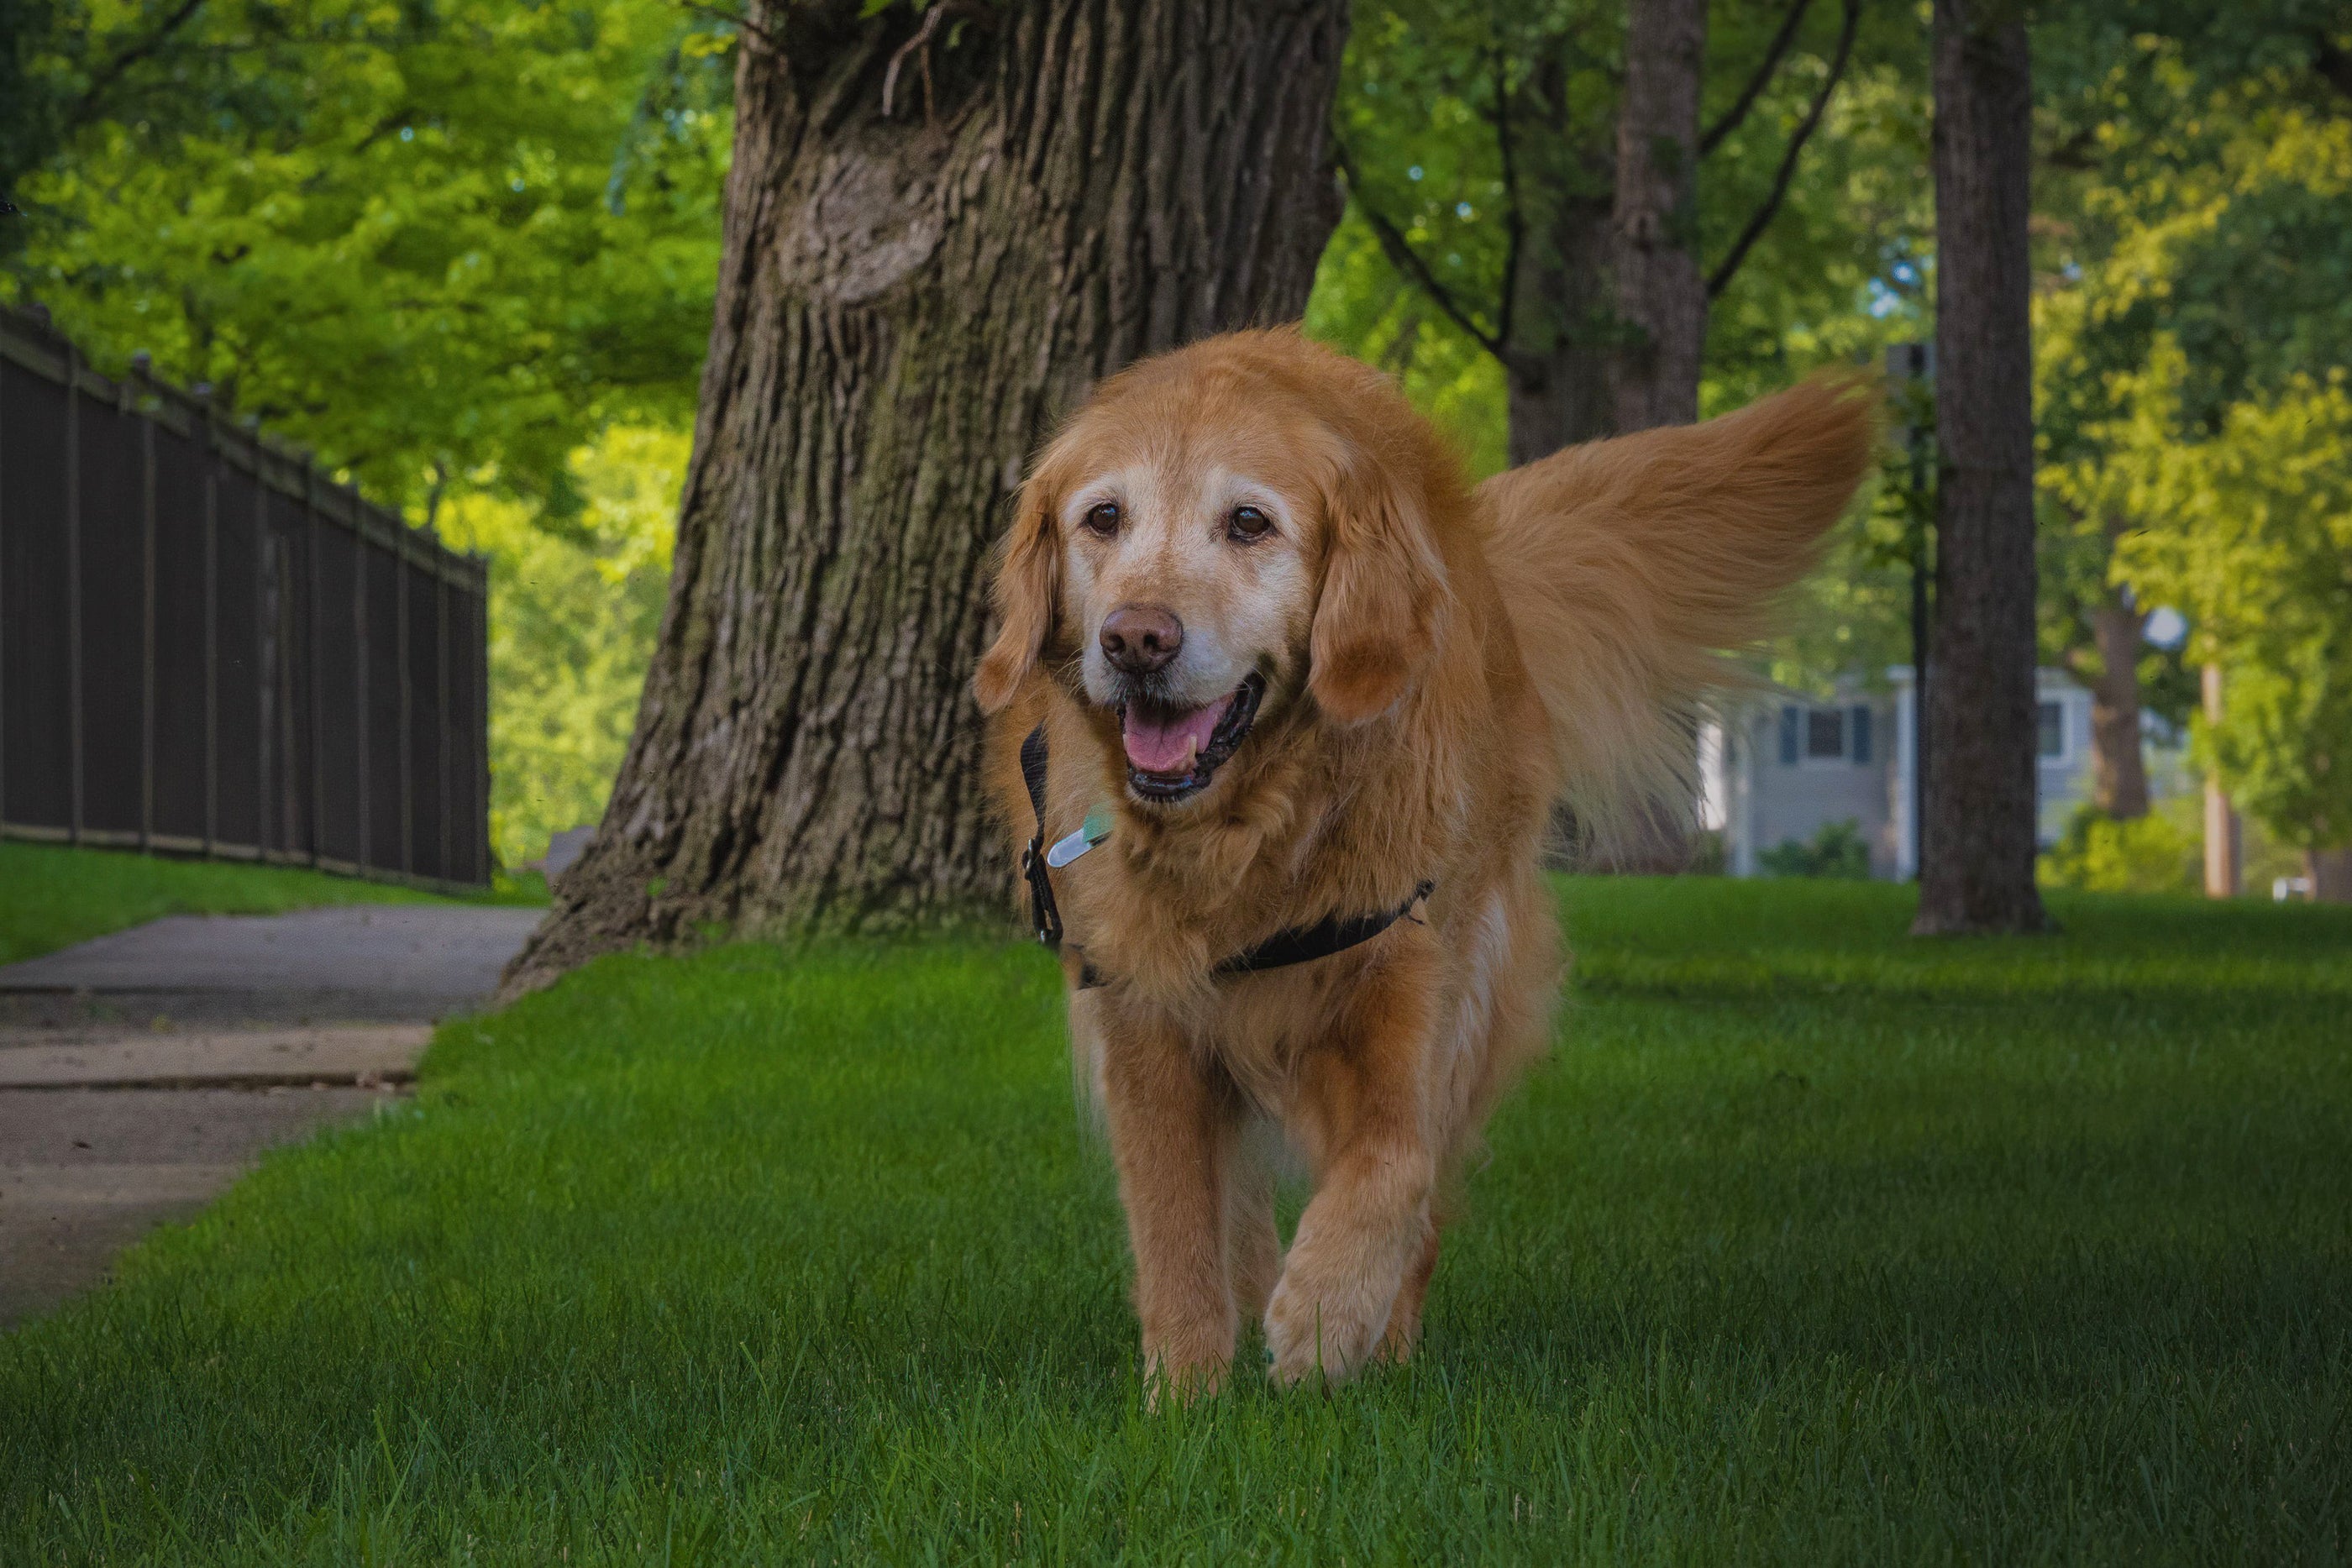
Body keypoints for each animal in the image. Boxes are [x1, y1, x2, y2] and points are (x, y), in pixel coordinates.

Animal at [964, 324, 1862, 1392]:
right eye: (1102, 517)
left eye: (1248, 523)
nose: (1136, 639)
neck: (1256, 842)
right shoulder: (1143, 1015)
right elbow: (1175, 1224)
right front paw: (1185, 1392)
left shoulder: (1409, 976)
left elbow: (1397, 1161)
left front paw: (1325, 1317)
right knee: (1237, 1208)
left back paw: (1382, 1347)